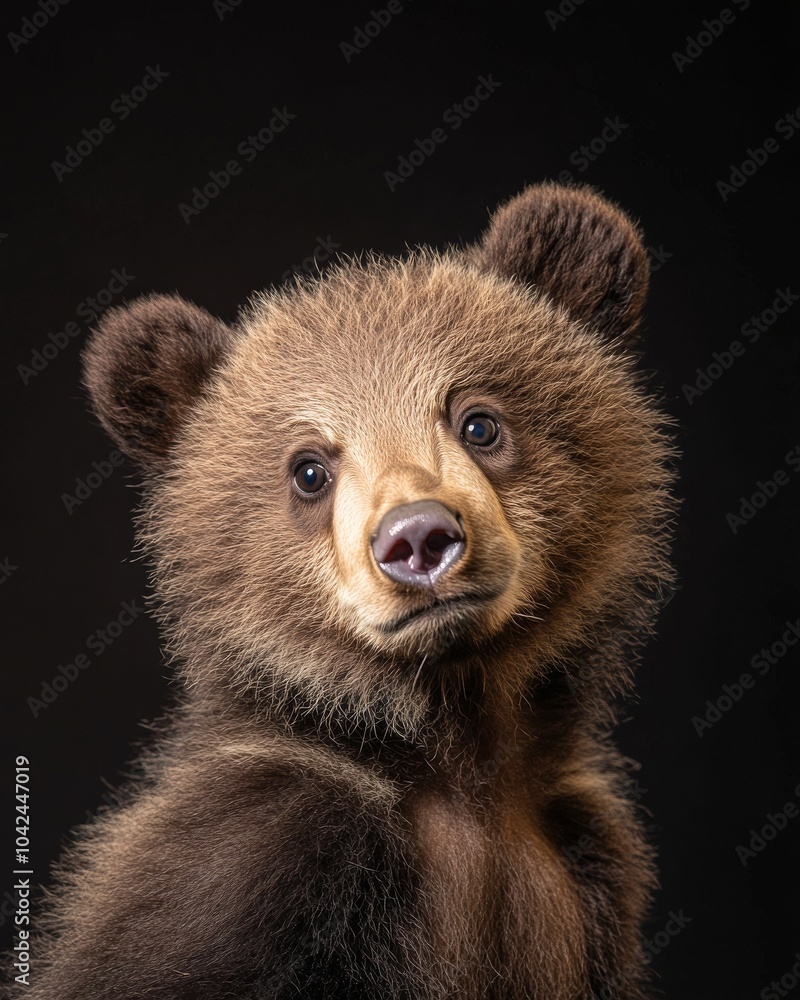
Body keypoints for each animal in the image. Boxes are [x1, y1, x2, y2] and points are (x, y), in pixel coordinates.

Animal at [8, 182, 675, 1000]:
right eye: (309, 469)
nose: (418, 539)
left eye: (479, 422)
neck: (457, 754)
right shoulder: (252, 862)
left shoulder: (590, 867)